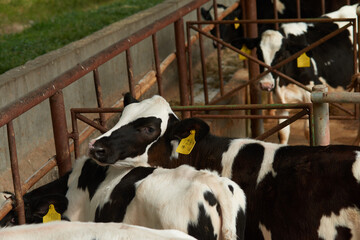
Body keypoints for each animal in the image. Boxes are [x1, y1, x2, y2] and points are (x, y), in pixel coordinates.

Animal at [231, 3, 358, 143]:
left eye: (281, 55)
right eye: (259, 53)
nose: (265, 85)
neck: (285, 82)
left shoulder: (310, 95)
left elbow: (308, 132)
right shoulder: (280, 100)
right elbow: (282, 133)